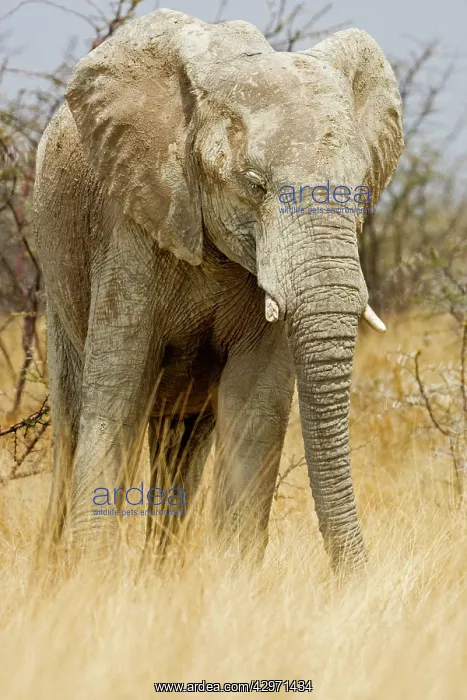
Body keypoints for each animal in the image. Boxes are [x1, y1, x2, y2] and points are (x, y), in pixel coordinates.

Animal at [33, 9, 403, 572]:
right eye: (254, 184)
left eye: (362, 188)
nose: (356, 579)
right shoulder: (128, 225)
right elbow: (117, 396)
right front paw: (91, 577)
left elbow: (255, 410)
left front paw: (233, 579)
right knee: (72, 422)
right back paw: (55, 573)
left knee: (181, 441)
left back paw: (161, 575)